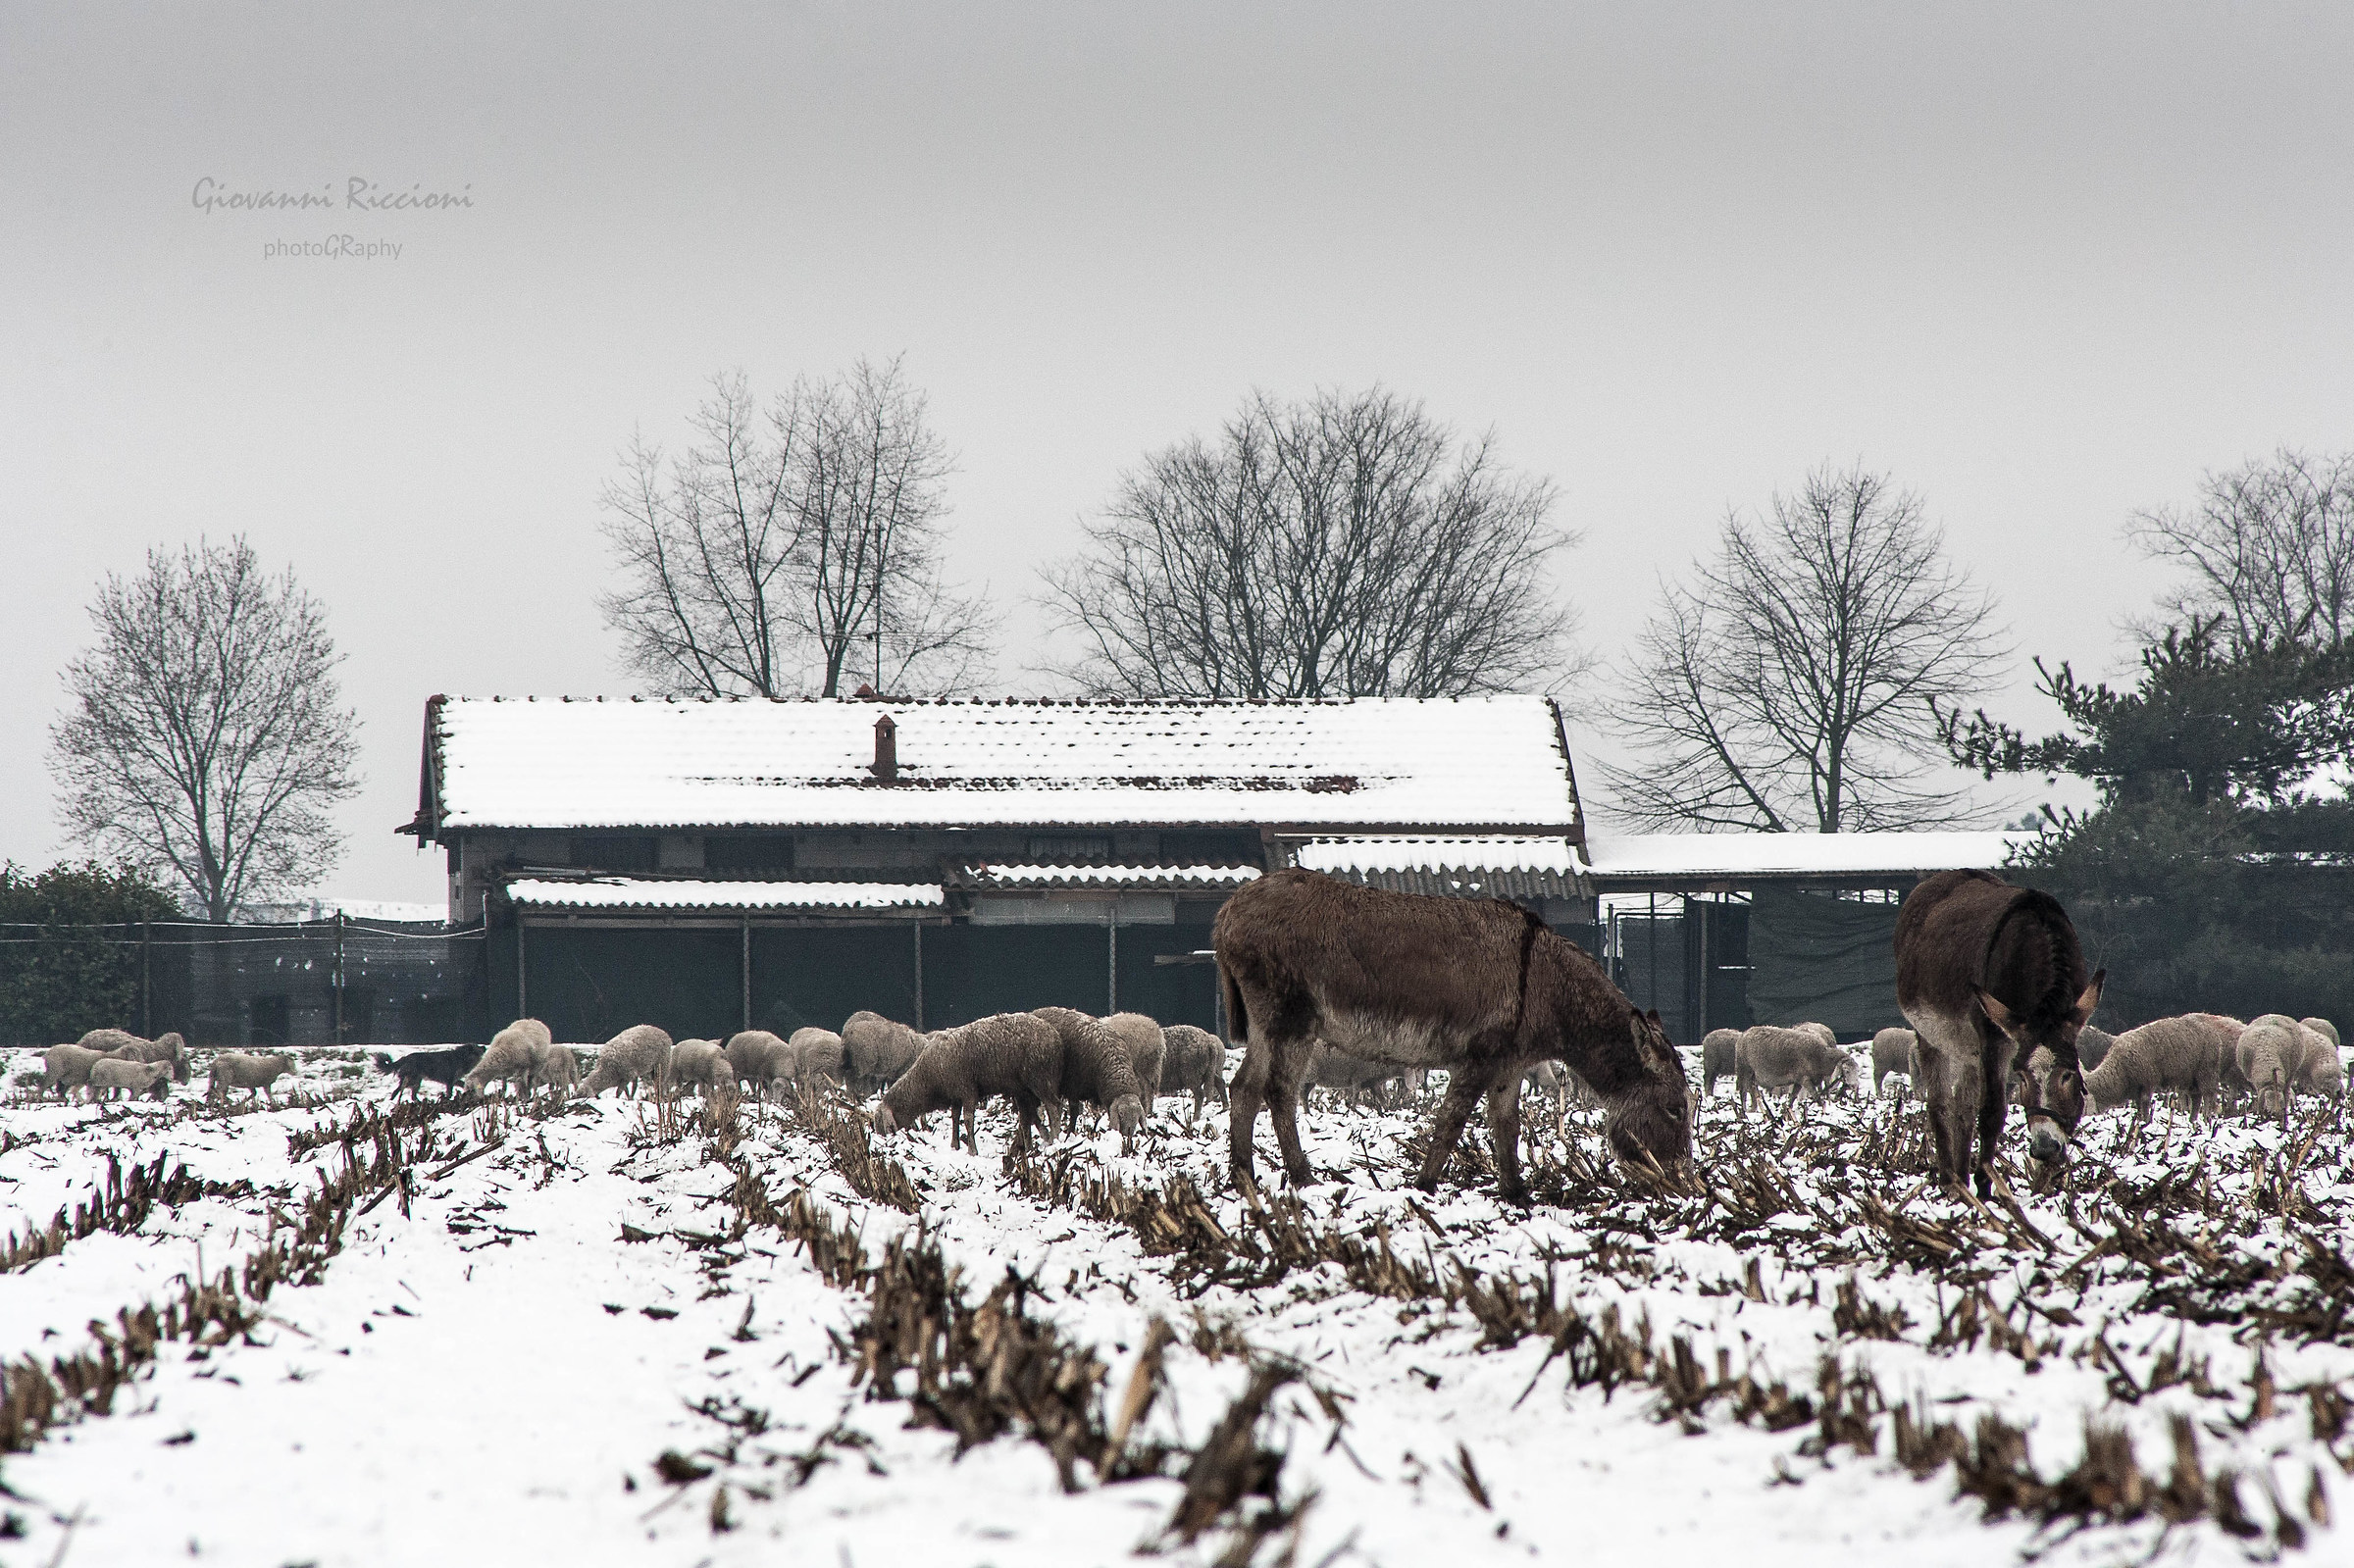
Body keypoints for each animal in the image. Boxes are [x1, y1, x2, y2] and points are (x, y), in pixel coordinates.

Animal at [872, 1012, 1063, 1154]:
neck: (928, 1078)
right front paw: (954, 1145)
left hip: (1041, 1078)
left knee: (1054, 1108)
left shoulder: (967, 1090)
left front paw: (972, 1150)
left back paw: (1054, 1139)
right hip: (1027, 1087)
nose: (887, 1142)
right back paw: (1034, 1145)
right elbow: (955, 1118)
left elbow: (968, 1119)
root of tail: (1055, 1037)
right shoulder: (955, 1095)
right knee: (1032, 1114)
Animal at [1033, 1007, 1147, 1149]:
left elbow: (1097, 1116)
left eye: (1137, 1118)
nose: (1127, 1135)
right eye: (1121, 1114)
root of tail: (1037, 1011)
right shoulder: (1073, 1086)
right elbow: (1074, 1113)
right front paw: (1069, 1136)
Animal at [1734, 1025, 1862, 1115]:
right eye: (1846, 1070)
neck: (1821, 1057)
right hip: (1744, 1069)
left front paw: (1786, 1112)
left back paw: (1753, 1108)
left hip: (1752, 1075)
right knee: (1743, 1091)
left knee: (1751, 1089)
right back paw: (1744, 1111)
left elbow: (1792, 1098)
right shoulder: (1805, 1079)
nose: (1854, 1085)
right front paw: (1823, 1110)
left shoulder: (1798, 1081)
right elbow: (1816, 1096)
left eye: (1857, 1070)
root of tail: (1744, 1034)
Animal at [2085, 1014, 2232, 1116]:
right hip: (2191, 1077)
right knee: (2196, 1098)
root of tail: (2215, 1036)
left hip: (2206, 1071)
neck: (2120, 1069)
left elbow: (2145, 1105)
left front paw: (2144, 1122)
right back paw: (2193, 1120)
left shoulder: (2147, 1082)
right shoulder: (2137, 1089)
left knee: (2208, 1096)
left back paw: (2207, 1117)